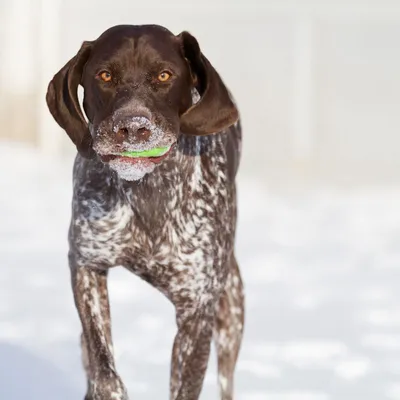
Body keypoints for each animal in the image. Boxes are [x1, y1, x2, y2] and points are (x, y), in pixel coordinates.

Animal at [44, 25, 244, 400]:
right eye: (105, 75)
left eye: (164, 75)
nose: (133, 126)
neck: (147, 192)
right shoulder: (86, 264)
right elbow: (103, 368)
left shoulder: (198, 311)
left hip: (230, 309)